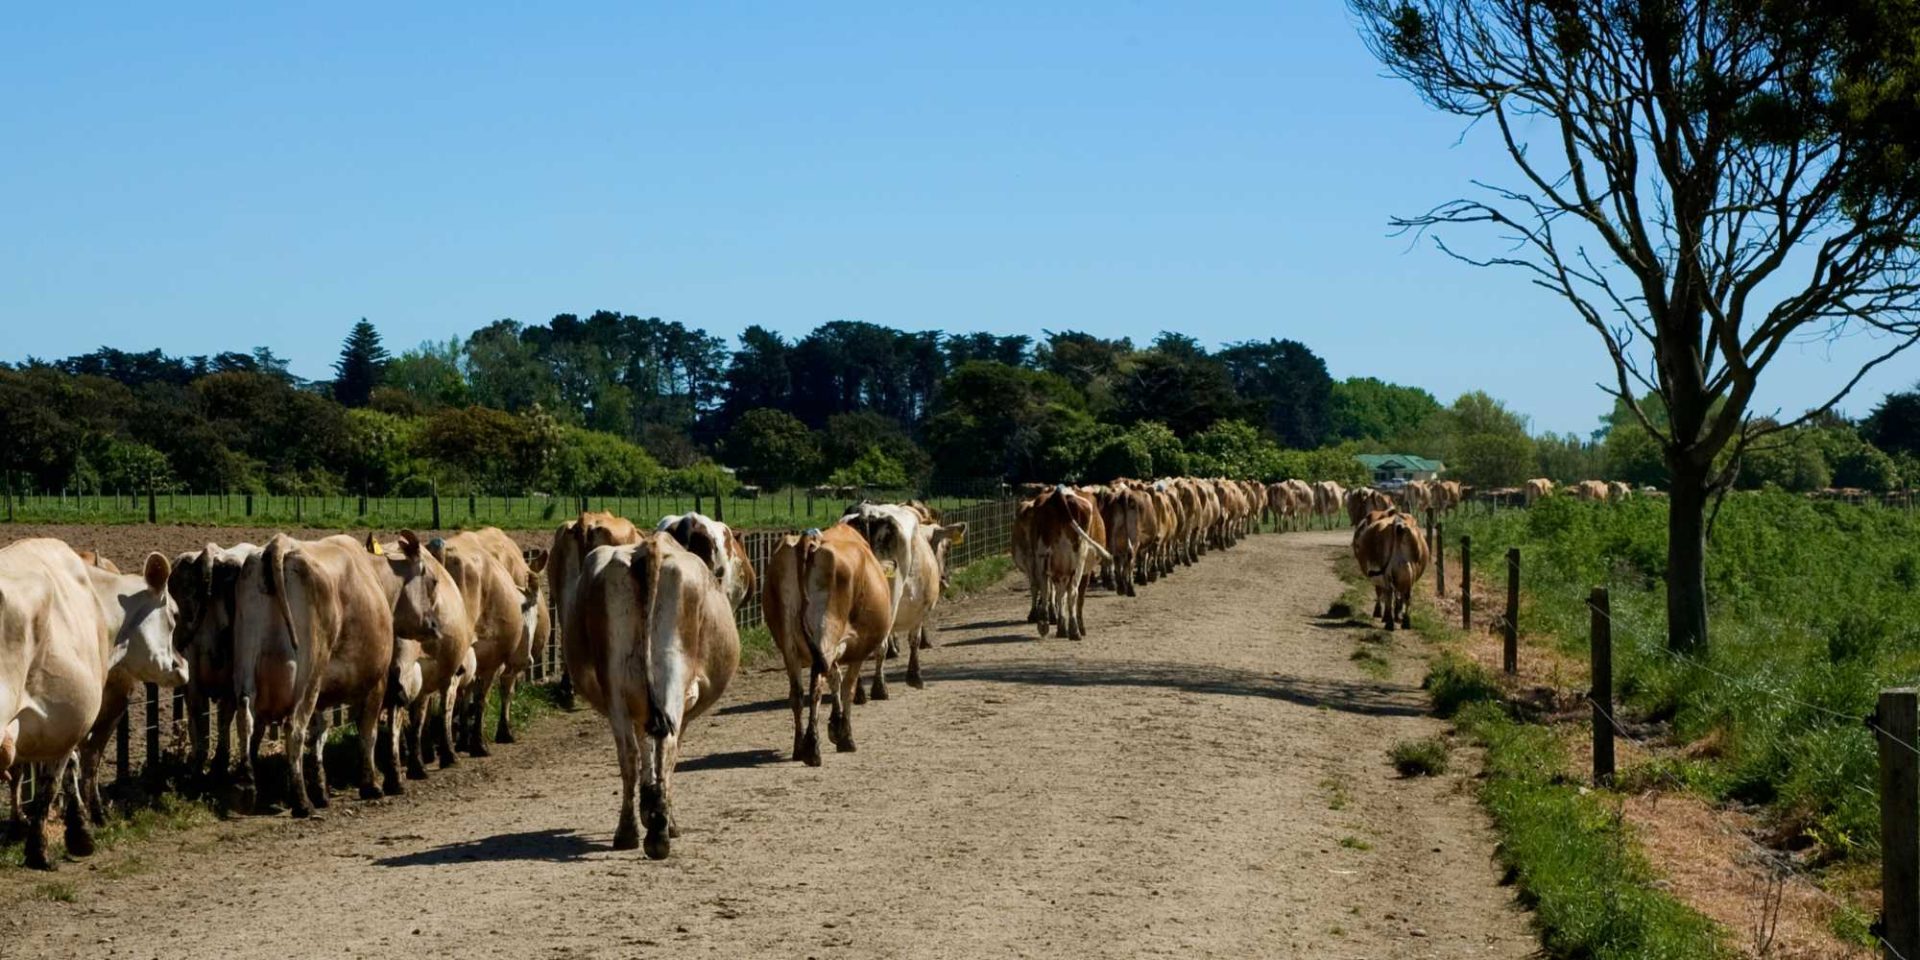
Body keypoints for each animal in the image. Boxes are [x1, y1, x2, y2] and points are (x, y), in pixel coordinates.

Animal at [572, 532, 739, 858]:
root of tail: (651, 547)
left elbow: (644, 752)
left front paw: (648, 807)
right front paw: (657, 813)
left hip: (615, 685)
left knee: (629, 754)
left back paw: (629, 831)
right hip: (672, 675)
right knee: (667, 746)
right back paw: (660, 831)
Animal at [764, 525, 894, 767]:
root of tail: (810, 539)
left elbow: (836, 679)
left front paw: (835, 725)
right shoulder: (856, 648)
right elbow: (847, 687)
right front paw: (845, 736)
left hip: (789, 645)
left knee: (797, 693)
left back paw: (799, 748)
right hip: (827, 633)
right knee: (816, 683)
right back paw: (812, 748)